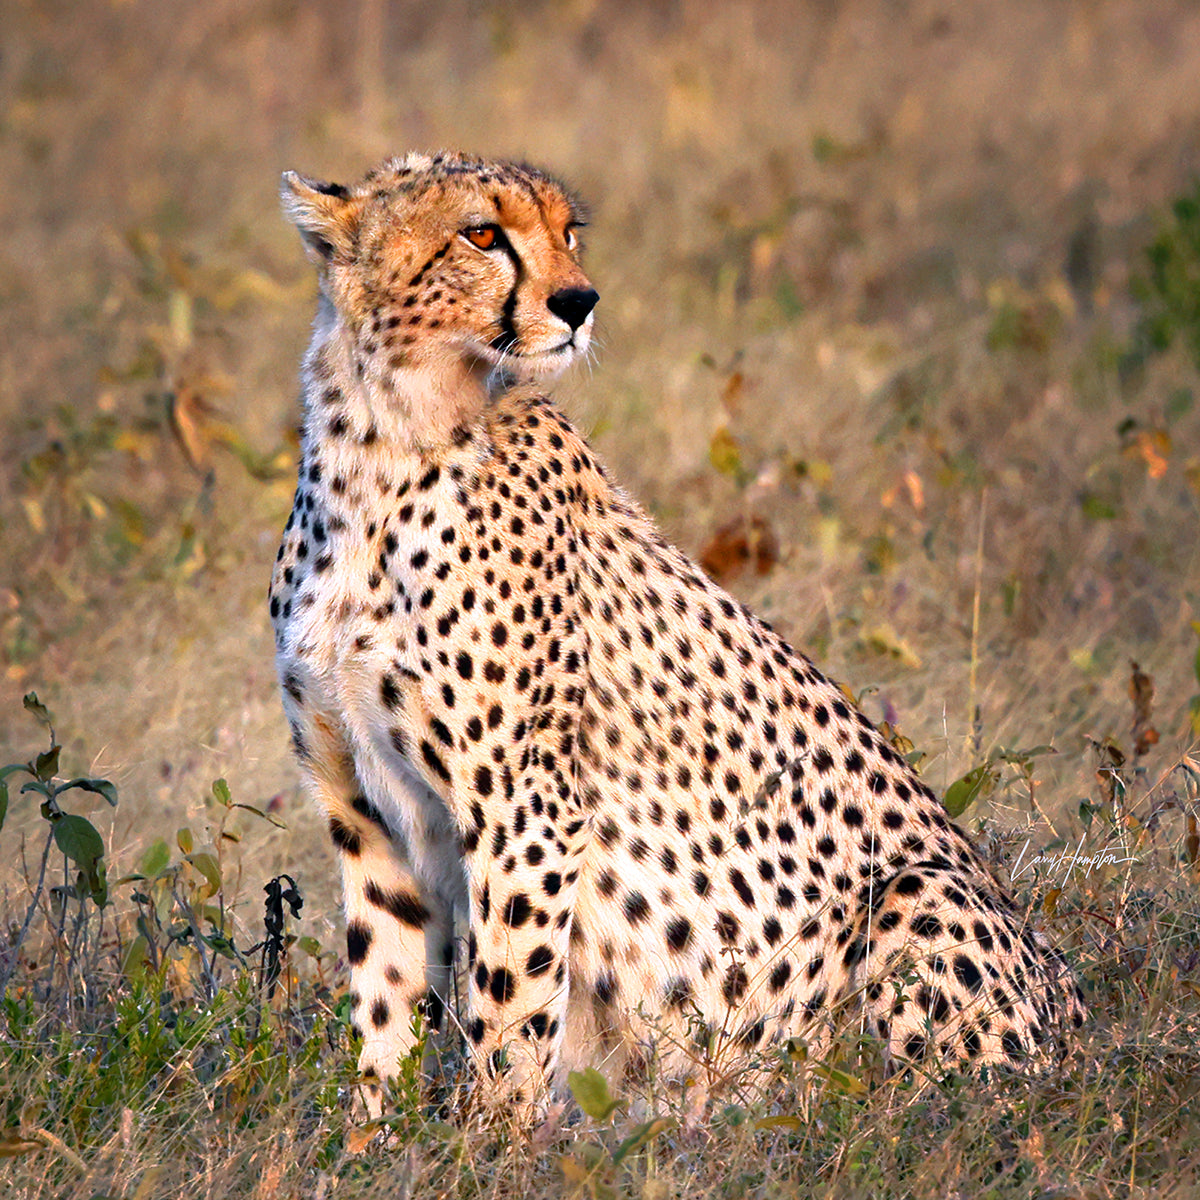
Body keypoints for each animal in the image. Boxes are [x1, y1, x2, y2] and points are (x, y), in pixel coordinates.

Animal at [268, 151, 1086, 1123]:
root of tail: (1085, 1029)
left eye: (569, 231)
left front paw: (488, 1141)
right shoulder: (360, 803)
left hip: (919, 899)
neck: (385, 439)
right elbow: (388, 998)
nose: (580, 301)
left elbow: (510, 1012)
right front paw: (377, 1137)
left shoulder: (526, 808)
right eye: (481, 233)